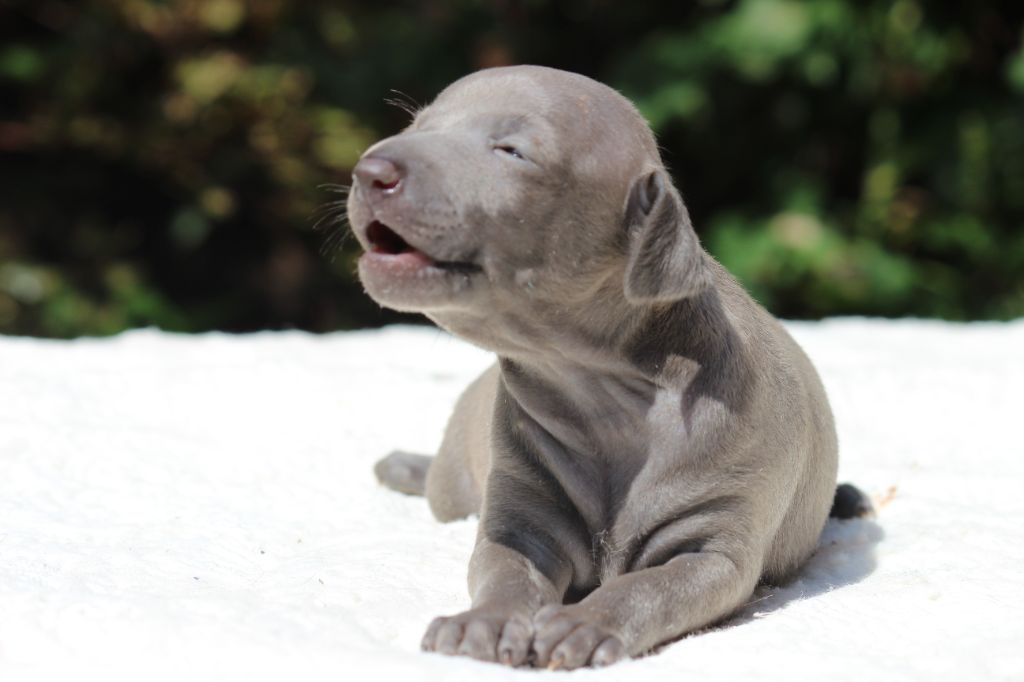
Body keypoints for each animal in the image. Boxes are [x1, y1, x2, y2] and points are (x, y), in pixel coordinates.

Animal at [346, 66, 864, 667]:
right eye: (417, 126)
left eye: (512, 151)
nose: (370, 171)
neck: (599, 395)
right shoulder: (521, 515)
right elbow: (503, 570)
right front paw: (485, 621)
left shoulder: (715, 547)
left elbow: (649, 587)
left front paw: (585, 623)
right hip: (455, 483)